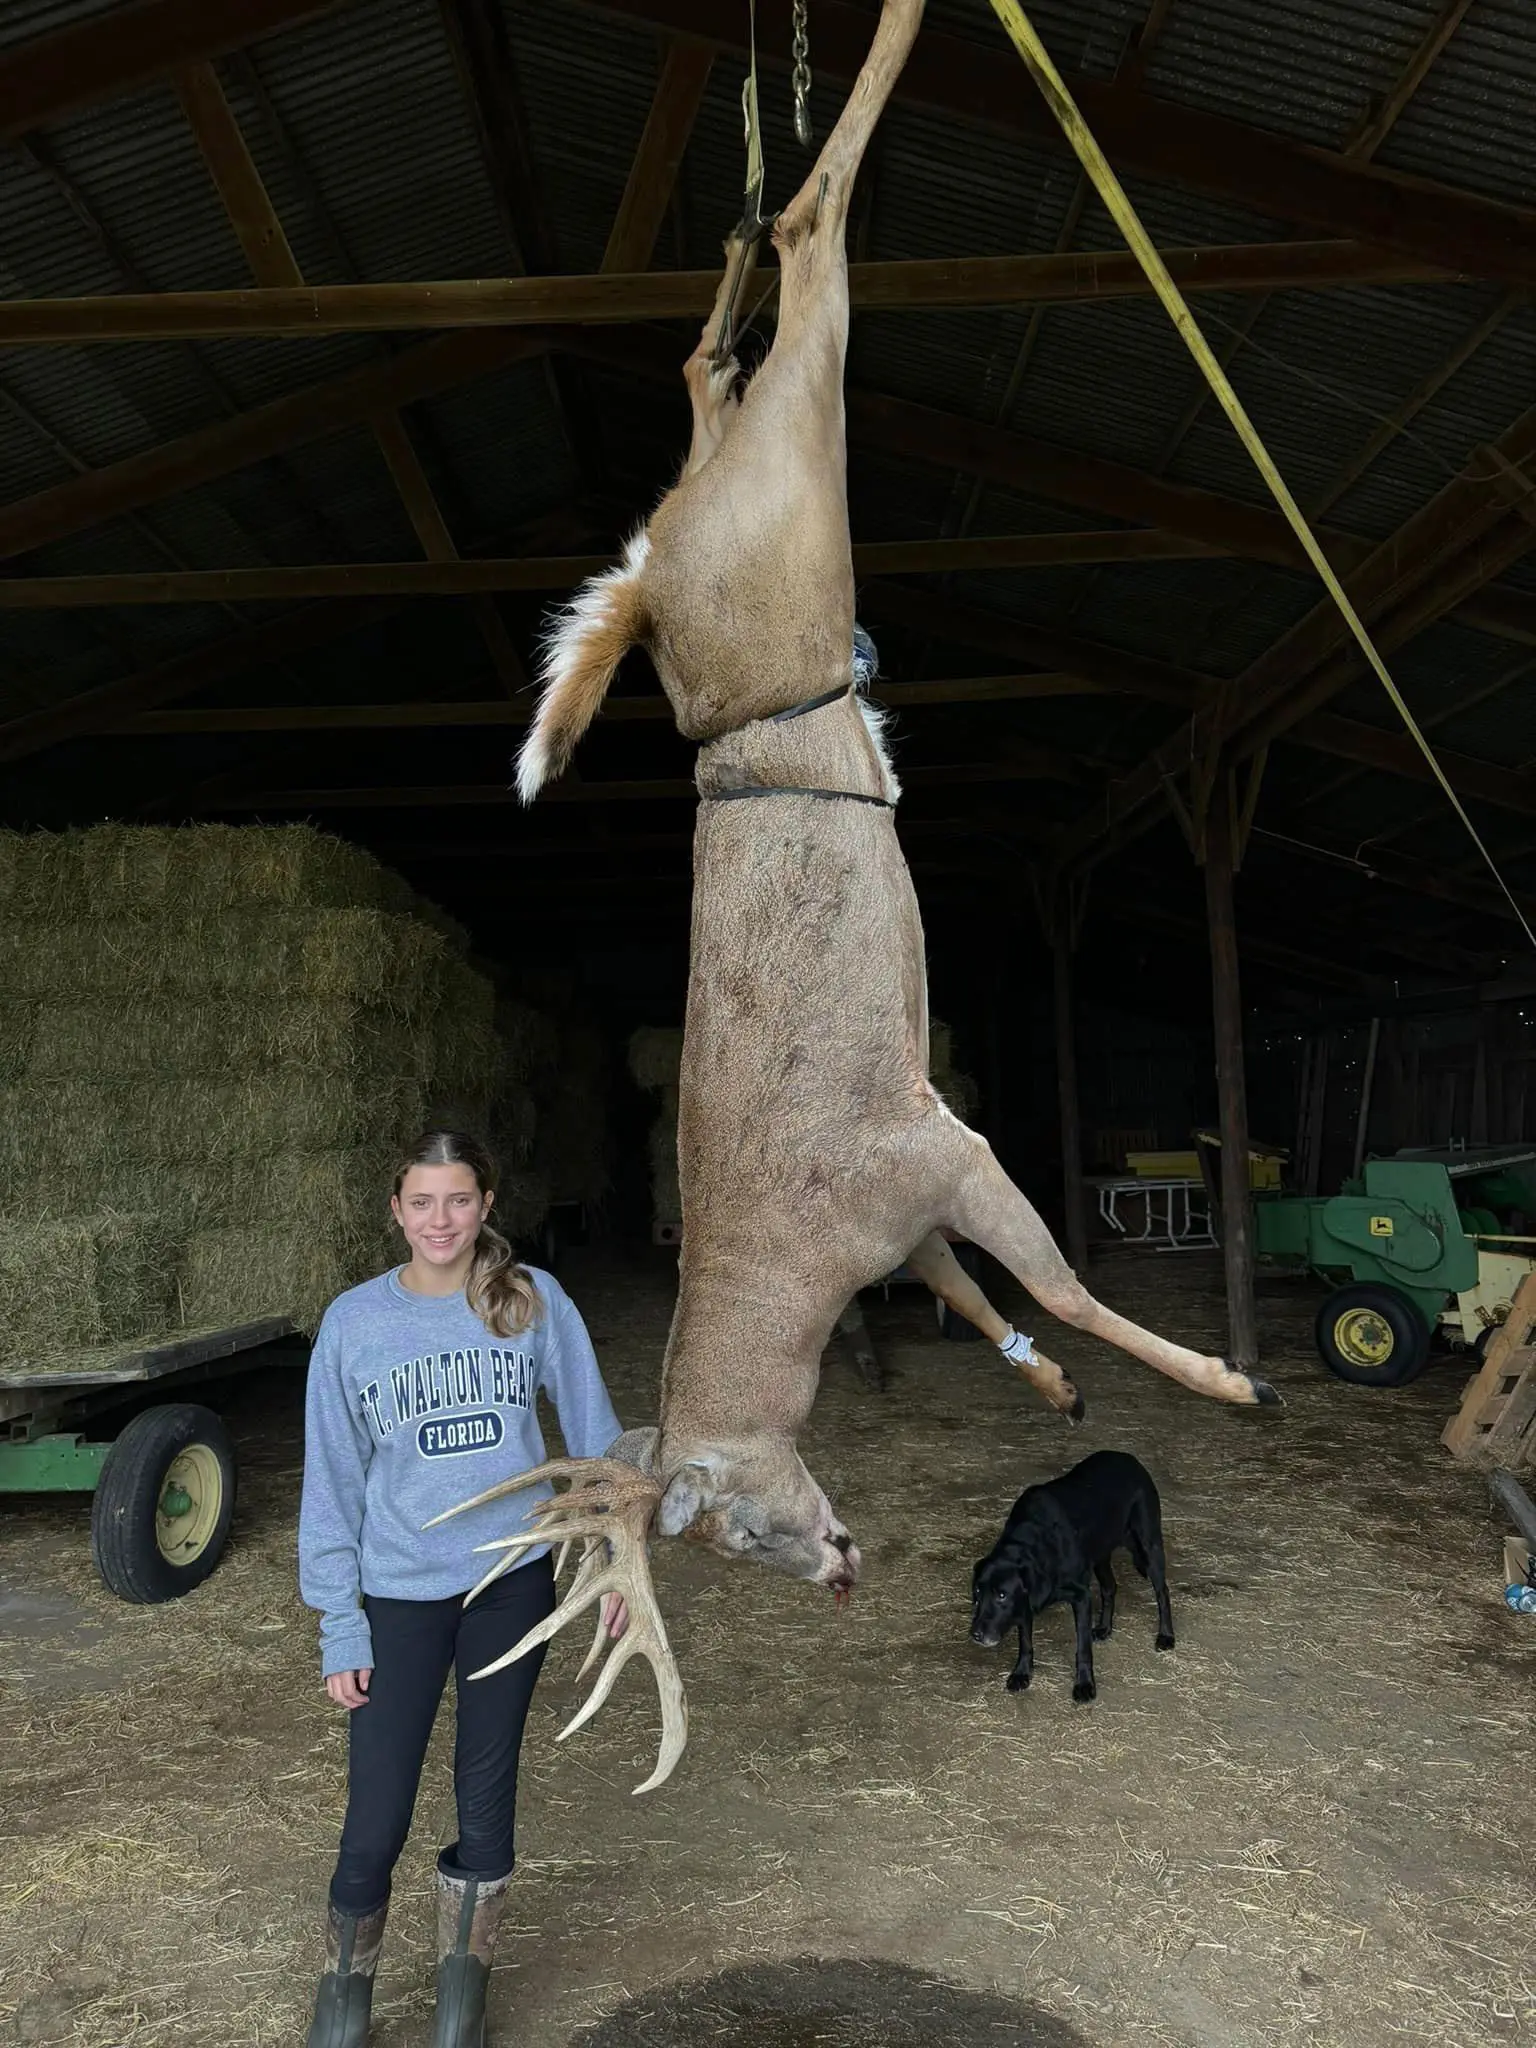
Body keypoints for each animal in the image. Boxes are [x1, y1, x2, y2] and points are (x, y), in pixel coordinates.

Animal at [974, 1449, 1179, 1703]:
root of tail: (1128, 1457)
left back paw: (1166, 1636)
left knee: (1162, 1591)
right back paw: (1104, 1628)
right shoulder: (1025, 1602)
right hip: (1101, 1554)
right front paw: (1022, 1673)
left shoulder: (1081, 1597)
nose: (976, 1634)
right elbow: (1025, 1642)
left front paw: (1084, 1685)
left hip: (1149, 1545)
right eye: (977, 1592)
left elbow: (1083, 1648)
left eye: (1001, 1595)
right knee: (1110, 1587)